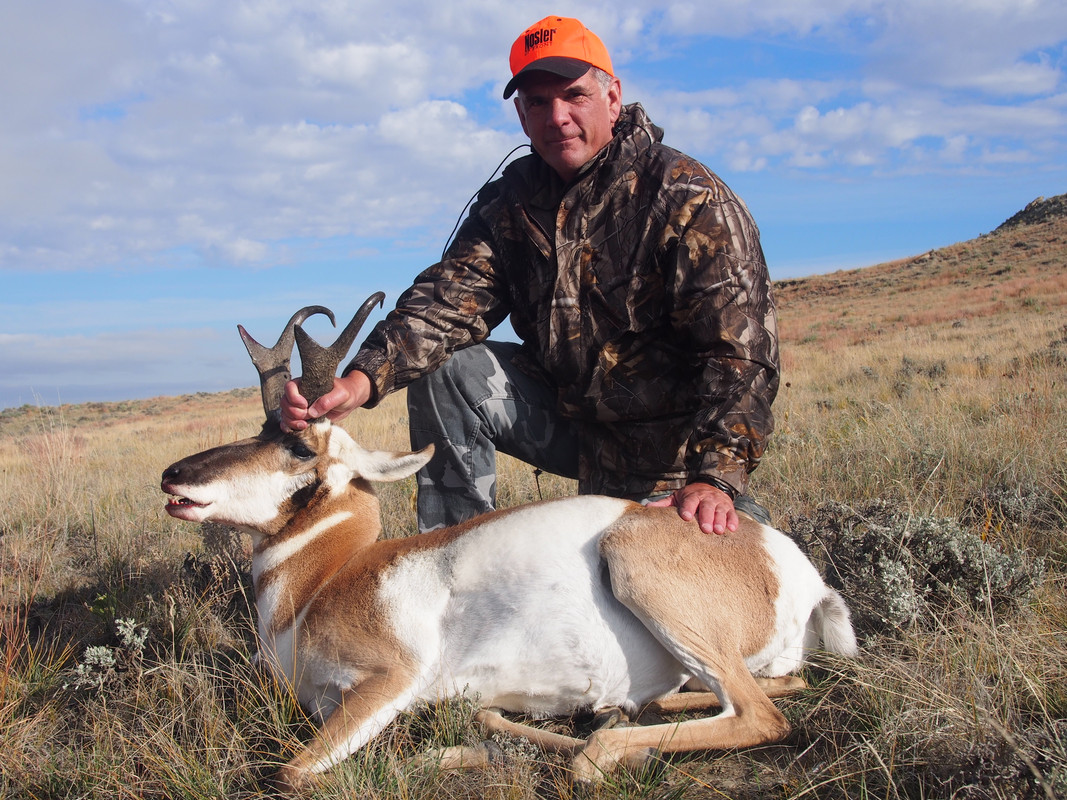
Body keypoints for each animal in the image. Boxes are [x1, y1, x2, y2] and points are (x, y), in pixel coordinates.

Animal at [161, 295, 858, 792]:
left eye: (300, 445)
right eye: (261, 429)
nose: (173, 476)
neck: (325, 579)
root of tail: (792, 566)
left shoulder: (385, 684)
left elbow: (291, 773)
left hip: (640, 572)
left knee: (757, 716)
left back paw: (598, 744)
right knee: (764, 690)